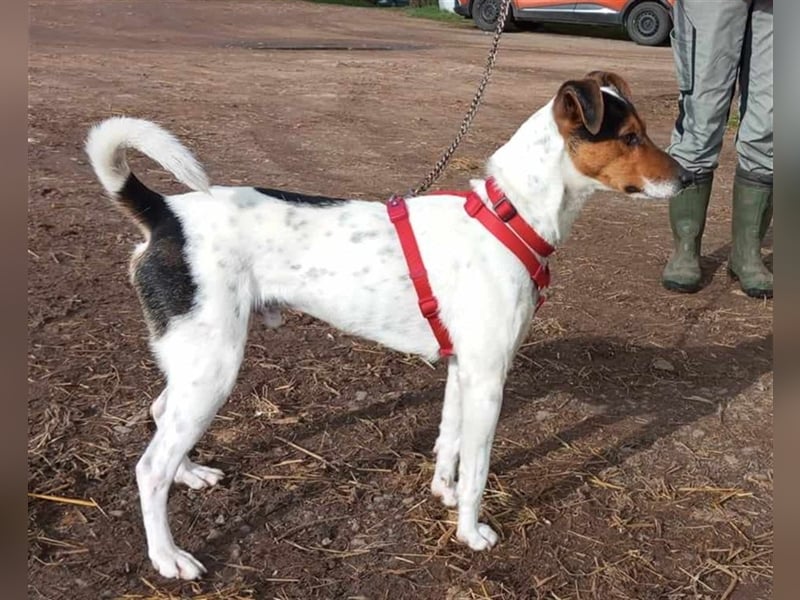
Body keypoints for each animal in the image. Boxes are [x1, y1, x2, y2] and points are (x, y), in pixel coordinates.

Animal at [89, 71, 688, 580]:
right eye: (631, 137)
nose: (689, 178)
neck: (510, 215)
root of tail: (166, 213)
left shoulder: (463, 369)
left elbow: (449, 442)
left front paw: (443, 493)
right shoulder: (489, 379)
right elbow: (478, 468)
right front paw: (470, 531)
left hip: (195, 363)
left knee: (161, 416)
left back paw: (189, 474)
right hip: (214, 367)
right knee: (149, 466)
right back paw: (168, 556)